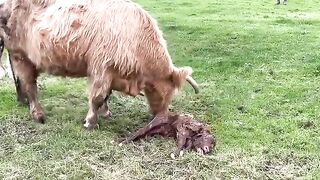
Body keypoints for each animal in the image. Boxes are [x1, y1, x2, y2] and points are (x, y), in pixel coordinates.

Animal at [0, 0, 200, 129]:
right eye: (166, 93)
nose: (161, 117)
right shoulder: (102, 68)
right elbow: (97, 96)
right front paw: (90, 122)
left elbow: (106, 95)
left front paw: (105, 113)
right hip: (20, 54)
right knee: (29, 84)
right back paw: (38, 114)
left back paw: (23, 101)